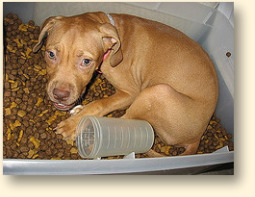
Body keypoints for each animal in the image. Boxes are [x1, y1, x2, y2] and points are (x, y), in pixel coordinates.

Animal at [32, 12, 218, 156]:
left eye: (86, 61)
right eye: (50, 54)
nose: (60, 95)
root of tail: (197, 138)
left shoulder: (131, 92)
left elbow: (100, 103)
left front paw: (72, 125)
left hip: (157, 92)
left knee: (122, 125)